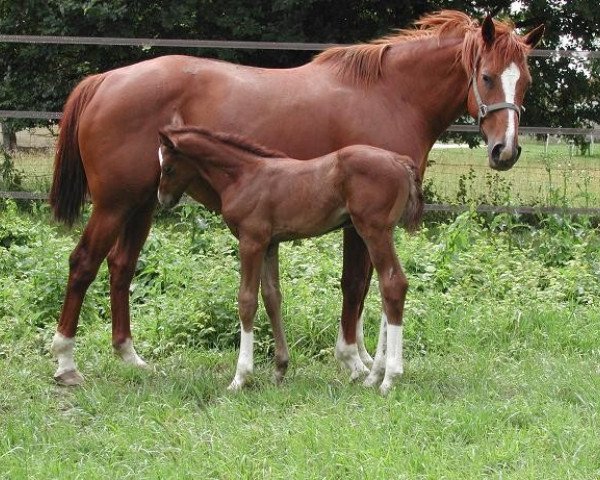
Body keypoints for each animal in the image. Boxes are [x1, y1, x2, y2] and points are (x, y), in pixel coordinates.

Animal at [157, 125, 424, 392]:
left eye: (167, 167)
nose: (163, 199)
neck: (244, 177)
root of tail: (400, 161)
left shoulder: (251, 241)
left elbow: (247, 301)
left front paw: (240, 377)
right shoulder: (270, 244)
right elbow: (272, 298)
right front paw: (280, 369)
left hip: (373, 231)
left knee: (393, 284)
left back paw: (389, 378)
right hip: (381, 233)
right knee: (386, 290)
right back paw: (374, 375)